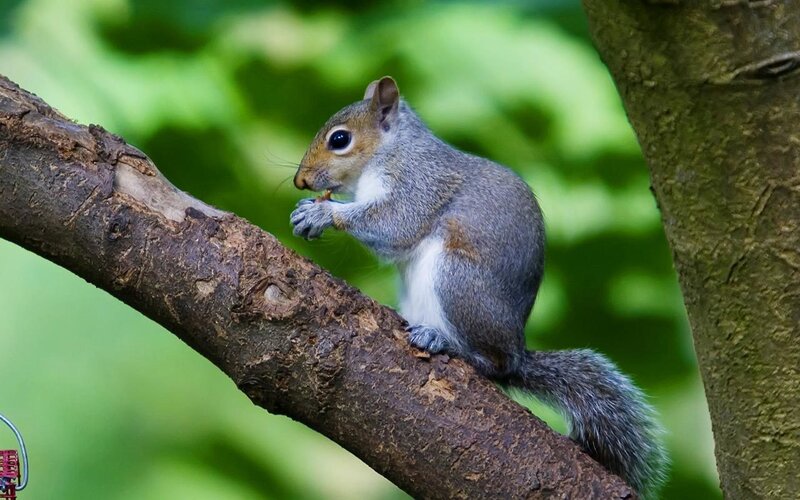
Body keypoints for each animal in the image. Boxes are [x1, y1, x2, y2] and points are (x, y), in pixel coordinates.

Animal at [290, 76, 668, 497]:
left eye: (340, 139)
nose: (300, 180)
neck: (392, 150)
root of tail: (517, 349)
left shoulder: (420, 184)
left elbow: (396, 226)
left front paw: (323, 213)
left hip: (457, 281)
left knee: (491, 363)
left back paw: (447, 344)